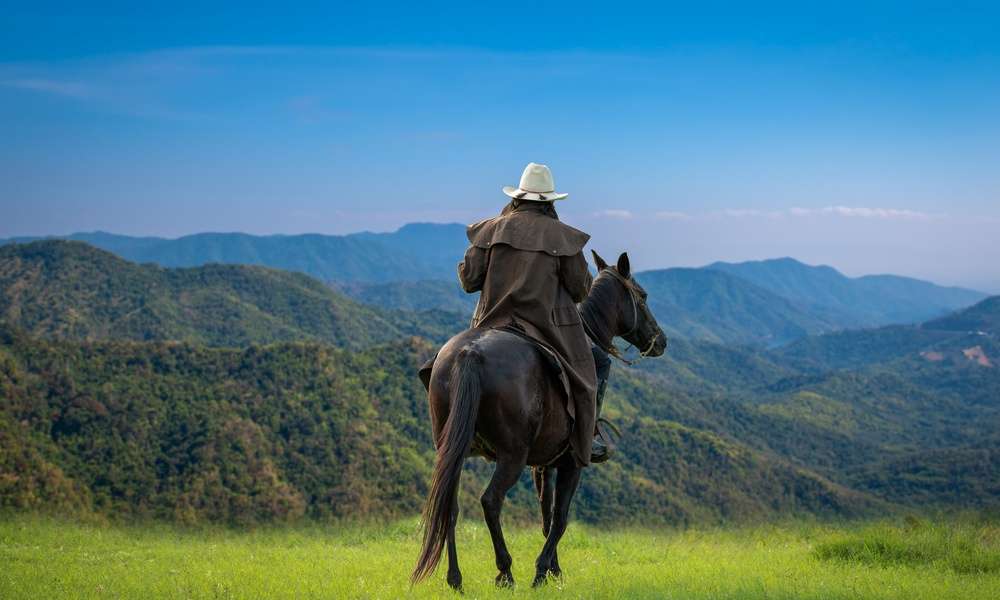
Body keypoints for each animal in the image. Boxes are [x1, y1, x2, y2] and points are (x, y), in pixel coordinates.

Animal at [411, 250, 666, 590]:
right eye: (643, 296)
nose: (661, 341)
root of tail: (470, 353)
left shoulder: (543, 463)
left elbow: (546, 516)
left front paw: (553, 571)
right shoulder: (572, 461)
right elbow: (560, 518)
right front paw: (542, 571)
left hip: (454, 447)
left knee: (449, 505)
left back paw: (455, 579)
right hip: (512, 455)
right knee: (490, 501)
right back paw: (505, 572)